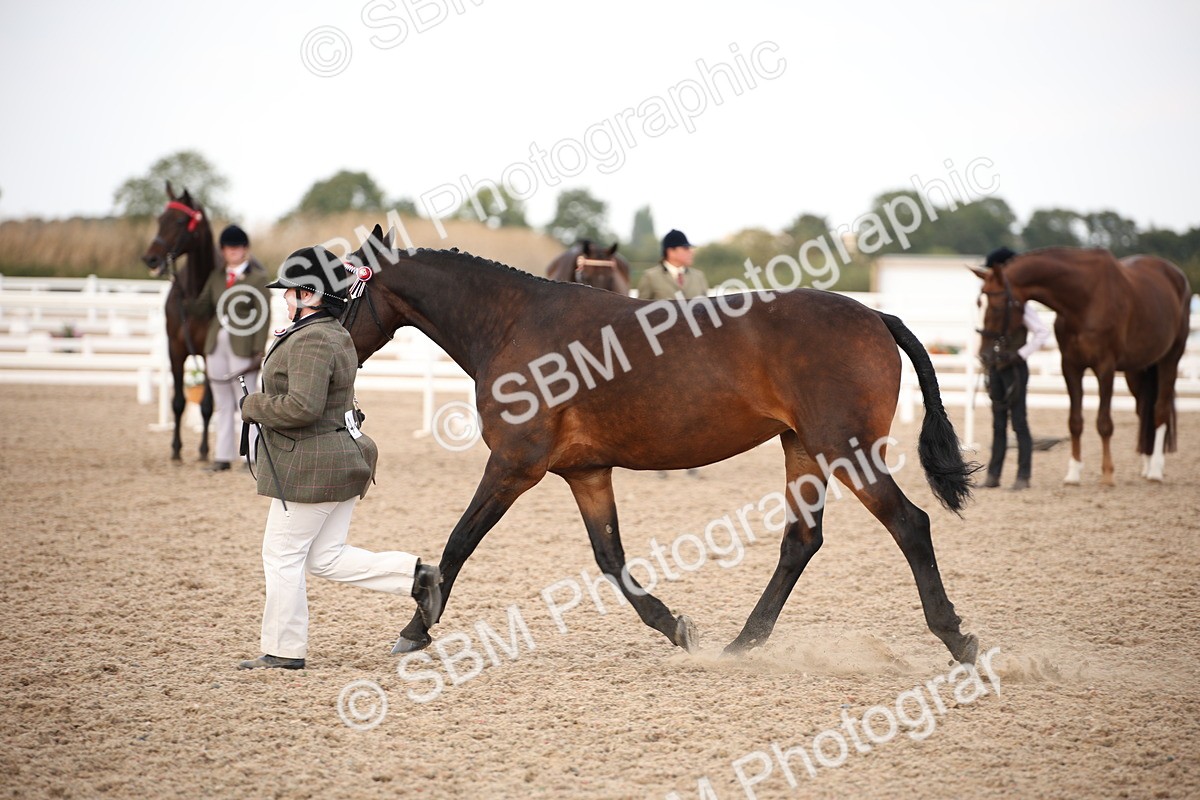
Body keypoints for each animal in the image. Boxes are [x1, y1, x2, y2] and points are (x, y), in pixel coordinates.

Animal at [141, 182, 216, 461]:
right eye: (160, 219)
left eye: (181, 220)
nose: (151, 258)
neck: (196, 295)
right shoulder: (176, 348)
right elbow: (178, 402)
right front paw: (175, 449)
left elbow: (206, 405)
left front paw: (204, 450)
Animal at [342, 225, 980, 664]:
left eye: (333, 292)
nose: (313, 335)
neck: (513, 324)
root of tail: (874, 315)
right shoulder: (587, 473)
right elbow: (611, 559)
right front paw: (677, 627)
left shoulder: (514, 465)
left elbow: (459, 542)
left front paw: (415, 628)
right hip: (804, 449)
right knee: (801, 541)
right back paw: (742, 643)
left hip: (846, 449)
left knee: (909, 523)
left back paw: (955, 637)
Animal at [973, 246, 1191, 484]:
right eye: (979, 304)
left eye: (996, 306)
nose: (985, 356)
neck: (1084, 299)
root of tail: (1176, 274)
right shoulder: (1071, 366)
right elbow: (1075, 422)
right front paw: (1073, 474)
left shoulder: (1105, 368)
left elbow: (1104, 423)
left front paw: (1107, 475)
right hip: (1137, 370)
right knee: (1144, 412)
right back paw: (1147, 465)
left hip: (1170, 359)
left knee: (1160, 411)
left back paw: (1155, 471)